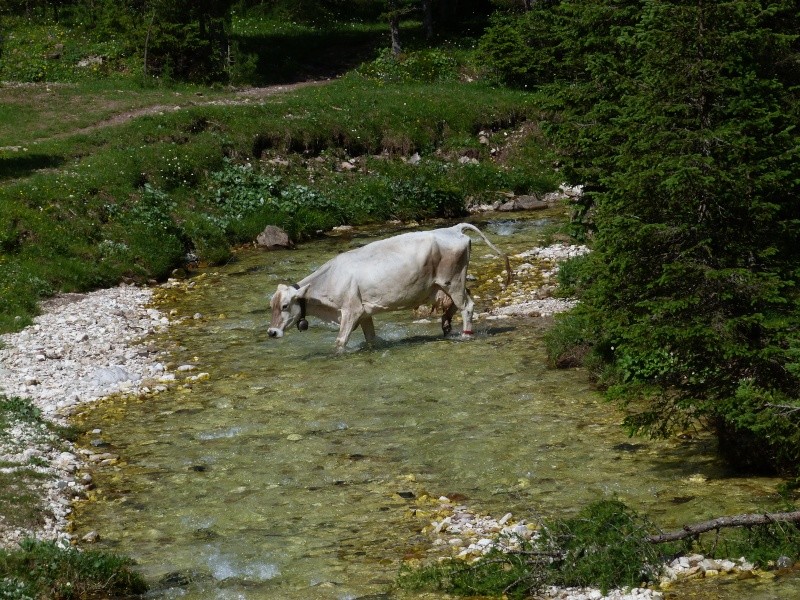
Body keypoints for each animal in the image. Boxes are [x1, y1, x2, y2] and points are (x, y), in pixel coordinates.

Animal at [266, 224, 510, 346]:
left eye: (285, 305)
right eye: (272, 306)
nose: (271, 332)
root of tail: (453, 228)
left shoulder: (351, 311)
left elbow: (340, 342)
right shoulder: (364, 313)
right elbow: (372, 339)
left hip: (453, 281)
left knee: (467, 306)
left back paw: (465, 335)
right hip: (446, 284)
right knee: (458, 303)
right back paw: (446, 325)